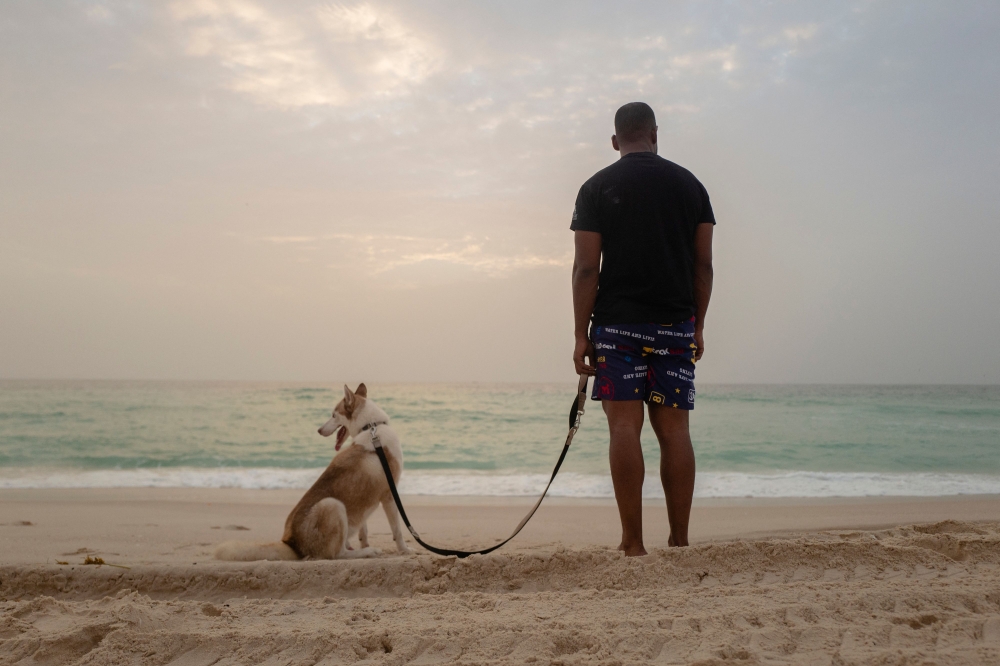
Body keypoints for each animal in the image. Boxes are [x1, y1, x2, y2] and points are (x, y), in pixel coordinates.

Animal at [215, 382, 410, 556]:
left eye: (333, 415)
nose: (318, 430)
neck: (371, 428)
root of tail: (291, 542)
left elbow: (364, 531)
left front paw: (366, 544)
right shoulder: (389, 495)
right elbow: (398, 530)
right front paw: (404, 550)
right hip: (333, 504)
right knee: (337, 554)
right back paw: (368, 552)